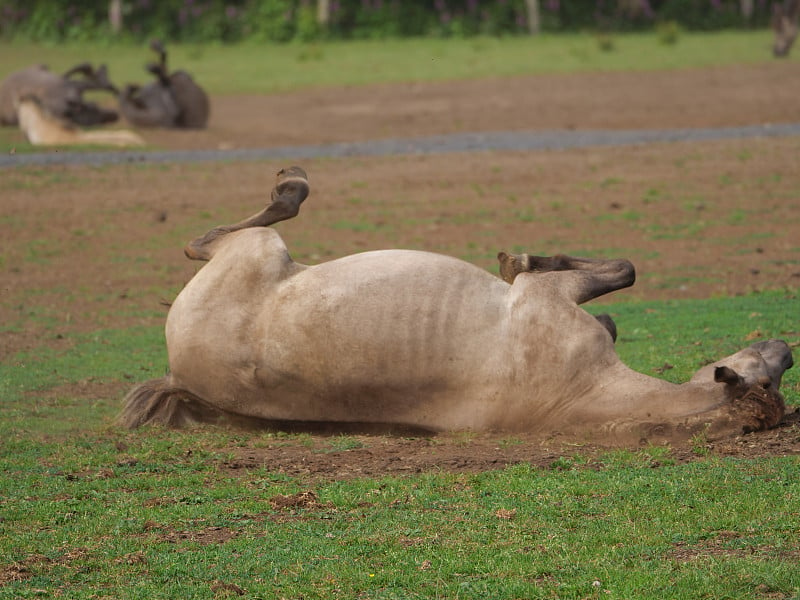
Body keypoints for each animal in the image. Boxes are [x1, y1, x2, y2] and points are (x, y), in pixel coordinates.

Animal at [120, 166, 792, 442]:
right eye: (768, 370)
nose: (785, 344)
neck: (580, 390)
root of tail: (180, 377)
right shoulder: (557, 301)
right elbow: (621, 274)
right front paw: (520, 260)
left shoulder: (551, 302)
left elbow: (617, 273)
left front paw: (520, 260)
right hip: (258, 251)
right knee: (209, 236)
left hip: (258, 253)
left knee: (213, 237)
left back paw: (292, 184)